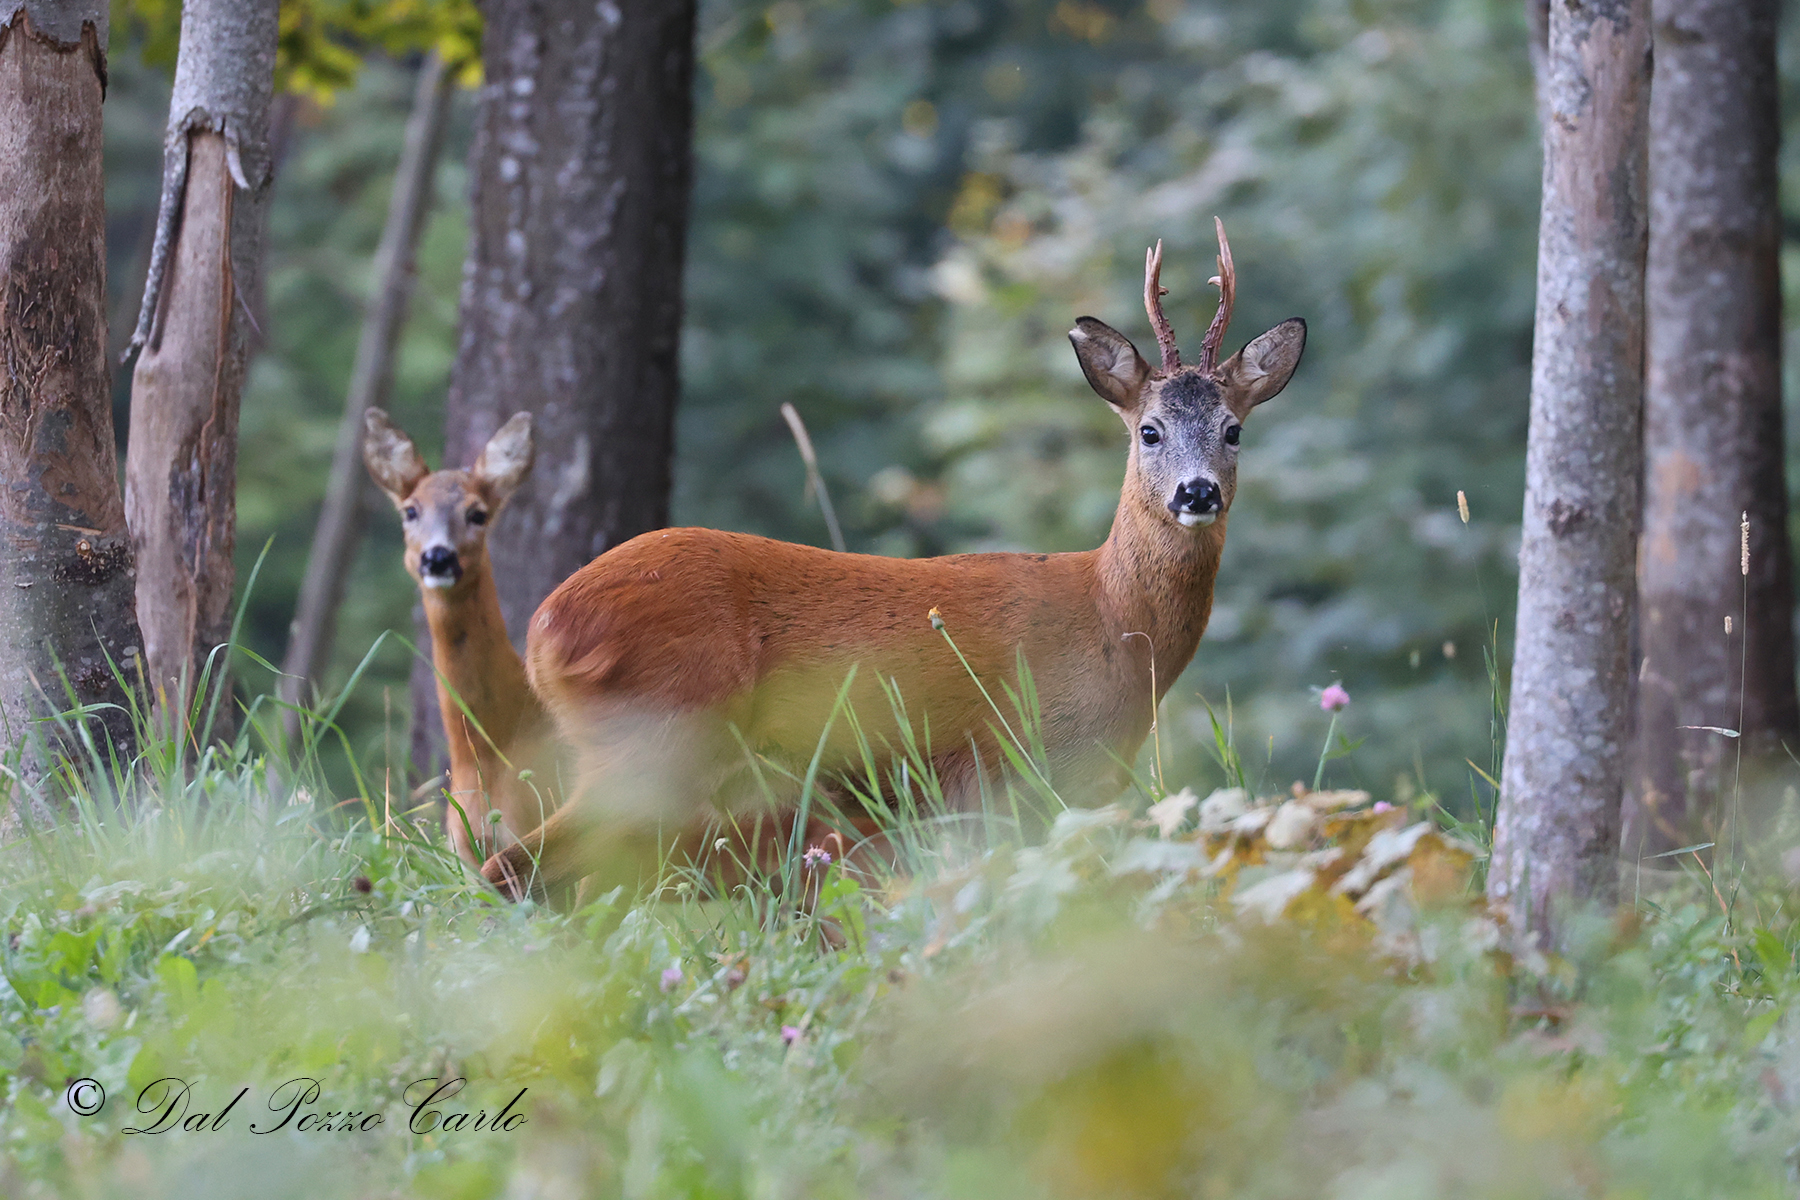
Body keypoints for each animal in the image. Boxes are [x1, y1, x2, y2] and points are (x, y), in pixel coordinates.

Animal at [480, 220, 1306, 901]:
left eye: (1233, 429)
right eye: (1149, 430)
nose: (1197, 493)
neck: (1111, 625)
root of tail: (546, 631)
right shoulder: (1005, 770)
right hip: (653, 741)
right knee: (516, 867)